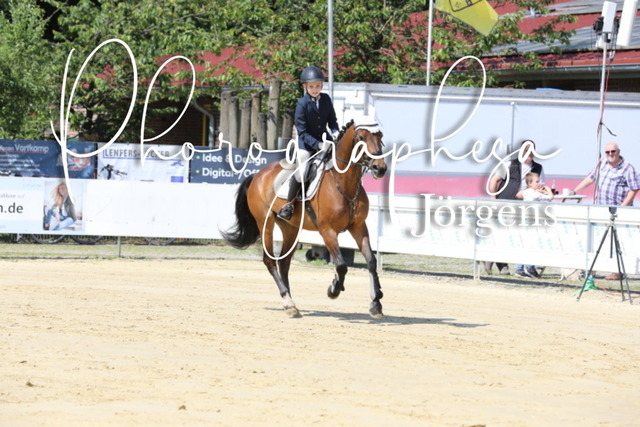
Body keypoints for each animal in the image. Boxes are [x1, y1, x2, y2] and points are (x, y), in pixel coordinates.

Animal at [222, 119, 387, 319]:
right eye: (361, 137)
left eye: (380, 136)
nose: (380, 168)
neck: (343, 182)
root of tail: (257, 175)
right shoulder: (327, 231)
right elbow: (341, 265)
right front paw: (334, 288)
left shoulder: (358, 226)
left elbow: (371, 261)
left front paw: (376, 303)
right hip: (266, 224)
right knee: (270, 261)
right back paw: (287, 301)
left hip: (291, 228)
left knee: (284, 262)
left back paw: (291, 303)